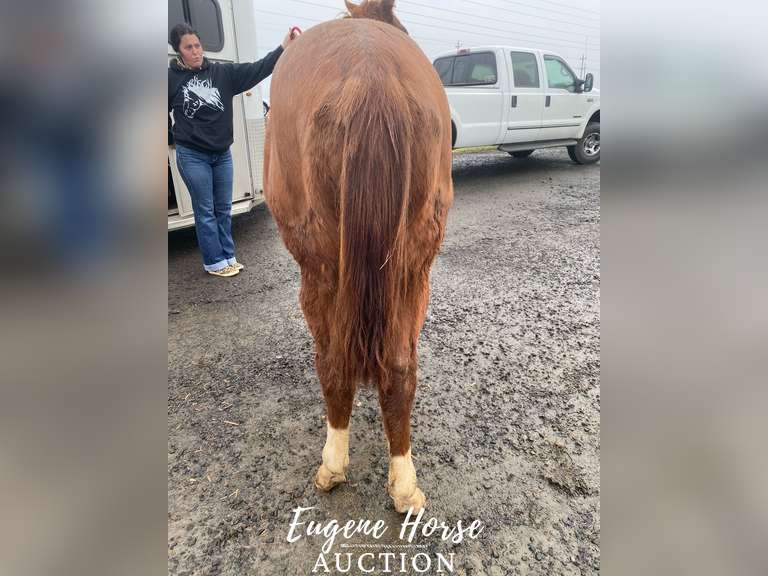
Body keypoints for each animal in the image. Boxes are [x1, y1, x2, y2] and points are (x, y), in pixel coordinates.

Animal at [264, 0, 453, 513]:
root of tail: (372, 77)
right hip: (414, 269)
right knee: (401, 367)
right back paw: (404, 484)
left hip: (319, 269)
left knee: (332, 361)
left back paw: (332, 464)